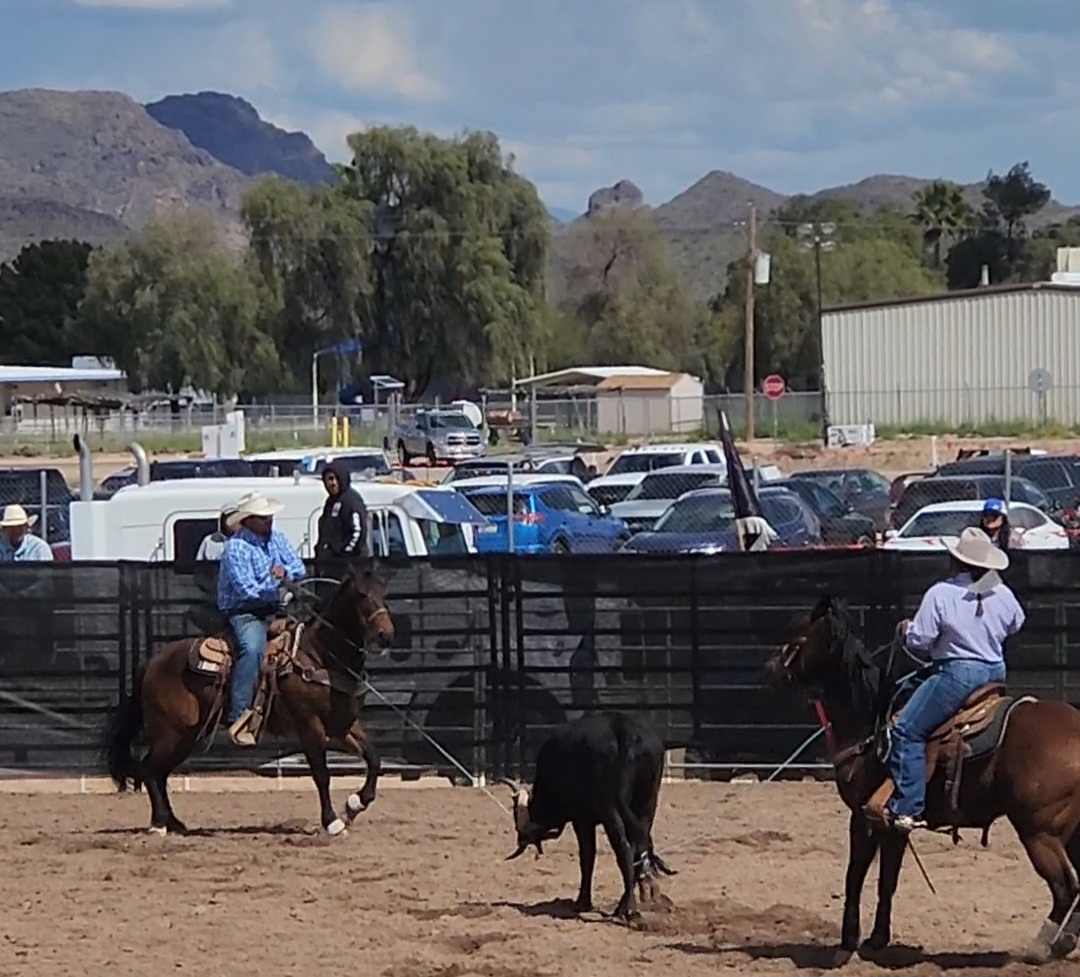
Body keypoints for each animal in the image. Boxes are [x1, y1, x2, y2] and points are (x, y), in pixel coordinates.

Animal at [101, 561, 395, 833]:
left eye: (383, 591)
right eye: (361, 595)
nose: (386, 635)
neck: (319, 655)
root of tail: (152, 662)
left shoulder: (342, 725)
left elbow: (374, 758)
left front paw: (355, 804)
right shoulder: (309, 725)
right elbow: (321, 774)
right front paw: (332, 822)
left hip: (186, 736)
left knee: (158, 772)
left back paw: (173, 823)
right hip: (170, 732)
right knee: (150, 768)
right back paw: (160, 824)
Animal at [768, 591, 1080, 962]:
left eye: (799, 638)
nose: (771, 667)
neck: (870, 721)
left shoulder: (861, 816)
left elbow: (855, 876)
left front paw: (847, 944)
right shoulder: (892, 825)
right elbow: (887, 880)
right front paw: (877, 940)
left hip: (1039, 832)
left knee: (1065, 887)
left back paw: (1039, 948)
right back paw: (1064, 942)